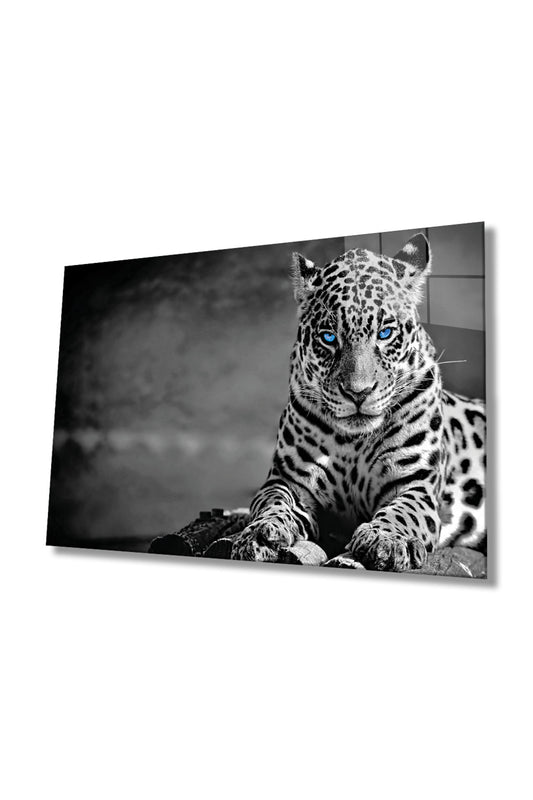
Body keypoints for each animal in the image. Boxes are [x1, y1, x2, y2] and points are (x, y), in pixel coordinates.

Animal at [230, 233, 486, 572]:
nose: (358, 393)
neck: (355, 442)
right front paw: (261, 533)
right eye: (328, 337)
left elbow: (403, 512)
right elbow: (272, 502)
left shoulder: (415, 485)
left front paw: (386, 539)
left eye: (386, 333)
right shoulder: (288, 480)